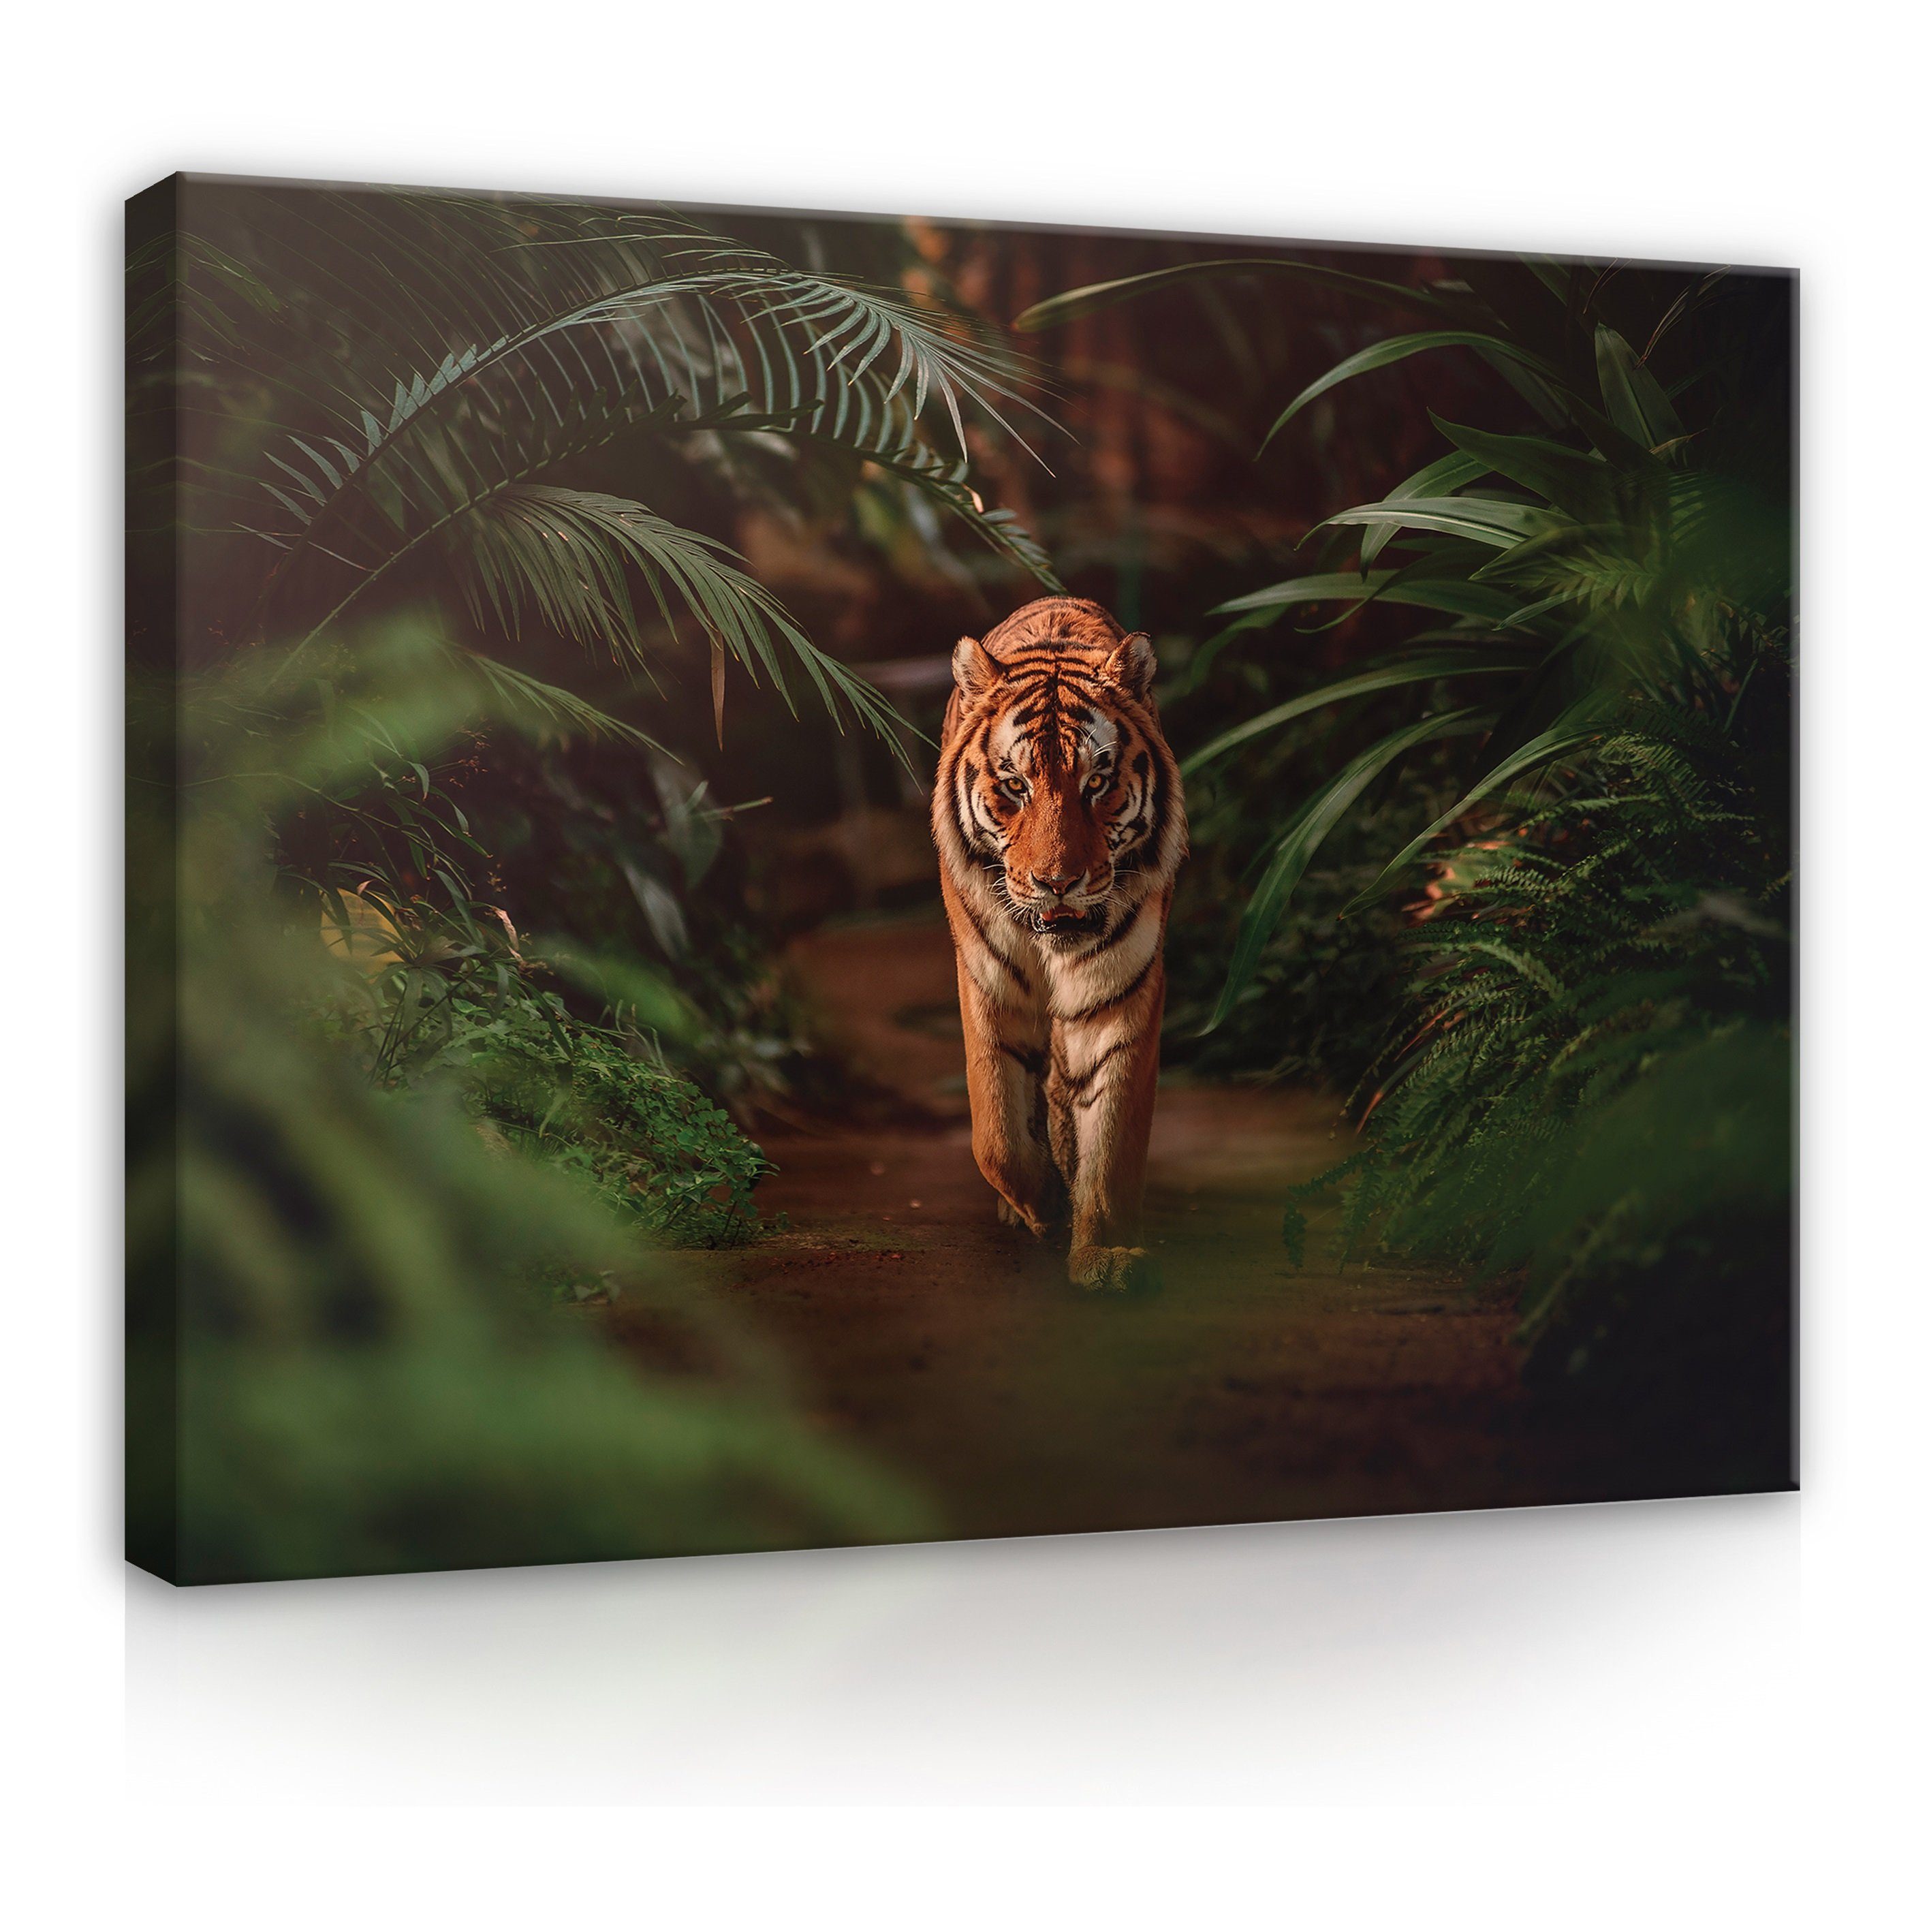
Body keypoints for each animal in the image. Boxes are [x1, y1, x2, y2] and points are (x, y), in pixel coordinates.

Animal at [931, 595, 1187, 1292]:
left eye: (1096, 784)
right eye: (1015, 785)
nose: (1057, 882)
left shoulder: (1118, 995)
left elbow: (1113, 1141)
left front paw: (1104, 1252)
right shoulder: (988, 987)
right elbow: (995, 1134)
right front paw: (1042, 1206)